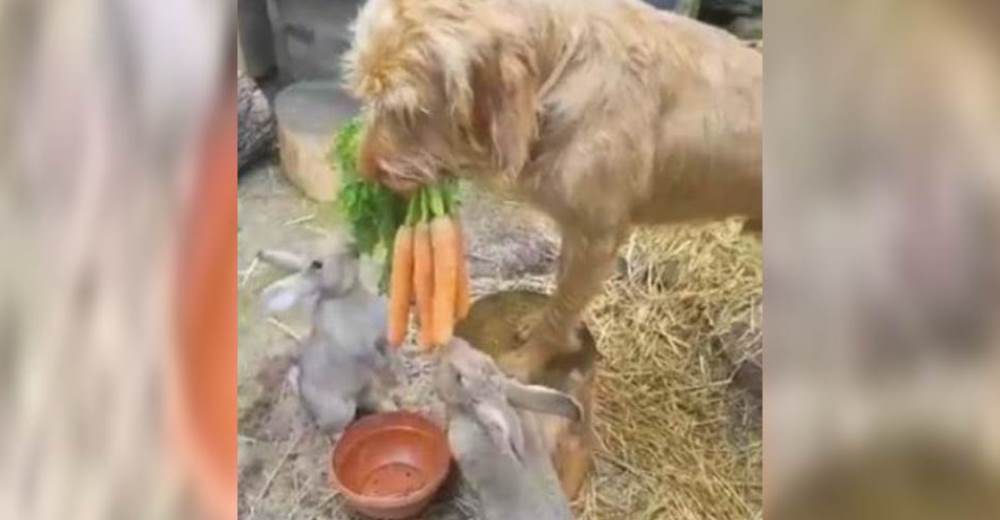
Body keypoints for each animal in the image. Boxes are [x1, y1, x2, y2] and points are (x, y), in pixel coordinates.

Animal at [258, 242, 398, 436]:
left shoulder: (383, 335)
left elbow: (388, 349)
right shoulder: (359, 346)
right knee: (332, 428)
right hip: (342, 409)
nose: (354, 251)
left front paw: (394, 370)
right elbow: (370, 357)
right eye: (317, 264)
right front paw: (388, 371)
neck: (346, 295)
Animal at [342, 0, 756, 382]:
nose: (366, 171)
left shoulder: (596, 239)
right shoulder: (574, 232)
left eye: (407, 111)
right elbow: (557, 294)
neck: (560, 69)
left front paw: (528, 360)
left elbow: (563, 307)